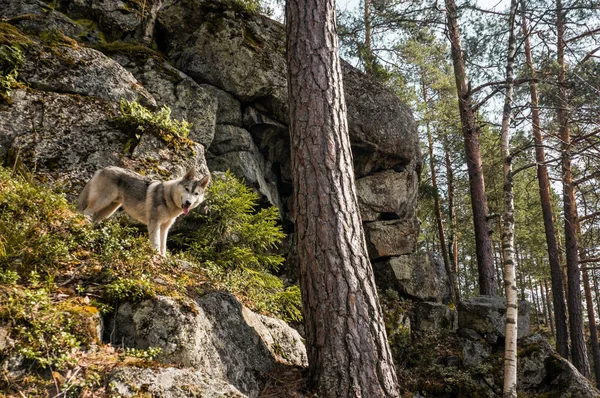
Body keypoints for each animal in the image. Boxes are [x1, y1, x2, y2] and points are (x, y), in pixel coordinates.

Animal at [77, 166, 211, 256]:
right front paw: (156, 256)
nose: (188, 203)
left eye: (195, 193)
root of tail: (102, 169)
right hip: (102, 202)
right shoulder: (154, 223)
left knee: (94, 218)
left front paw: (163, 258)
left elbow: (163, 246)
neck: (168, 199)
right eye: (187, 189)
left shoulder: (164, 228)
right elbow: (156, 244)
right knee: (86, 212)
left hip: (108, 210)